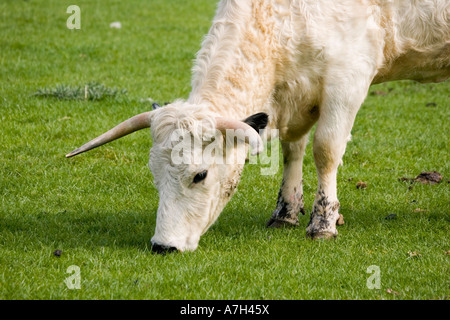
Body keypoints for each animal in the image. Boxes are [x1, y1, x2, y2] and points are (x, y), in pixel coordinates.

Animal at [65, 1, 448, 254]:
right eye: (155, 176)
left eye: (200, 175)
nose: (163, 245)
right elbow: (293, 149)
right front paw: (286, 212)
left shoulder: (347, 80)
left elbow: (325, 150)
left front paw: (323, 223)